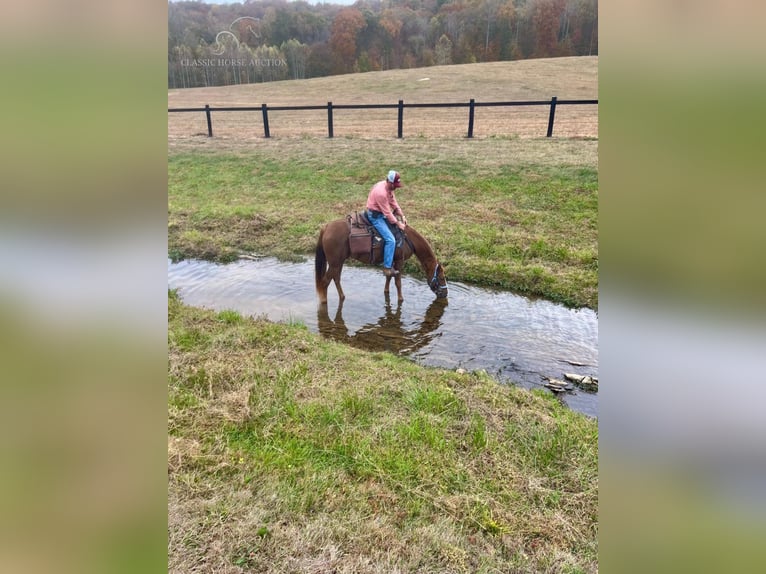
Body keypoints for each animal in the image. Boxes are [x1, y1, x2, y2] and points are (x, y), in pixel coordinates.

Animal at [316, 218, 450, 304]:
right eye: (442, 278)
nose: (445, 294)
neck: (408, 239)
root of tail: (326, 227)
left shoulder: (391, 261)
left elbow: (389, 276)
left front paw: (386, 291)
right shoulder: (399, 262)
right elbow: (398, 282)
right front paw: (401, 299)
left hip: (338, 263)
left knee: (336, 279)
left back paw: (342, 297)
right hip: (335, 264)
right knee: (325, 282)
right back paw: (323, 302)